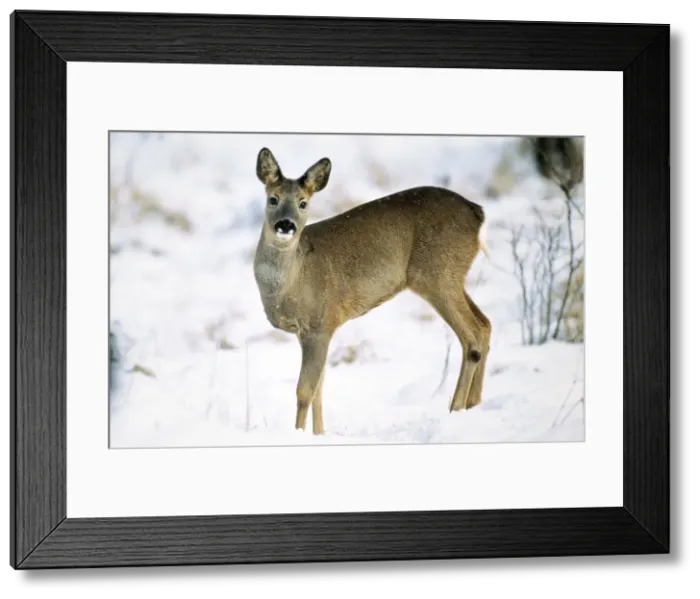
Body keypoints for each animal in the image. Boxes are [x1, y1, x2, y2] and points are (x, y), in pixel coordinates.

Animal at [252, 147, 492, 436]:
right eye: (273, 199)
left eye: (303, 203)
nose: (286, 225)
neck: (291, 283)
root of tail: (477, 213)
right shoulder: (307, 331)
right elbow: (319, 387)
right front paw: (319, 434)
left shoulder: (321, 323)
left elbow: (305, 391)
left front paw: (299, 433)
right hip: (452, 278)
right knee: (485, 324)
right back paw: (473, 405)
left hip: (437, 275)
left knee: (473, 335)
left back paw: (455, 409)